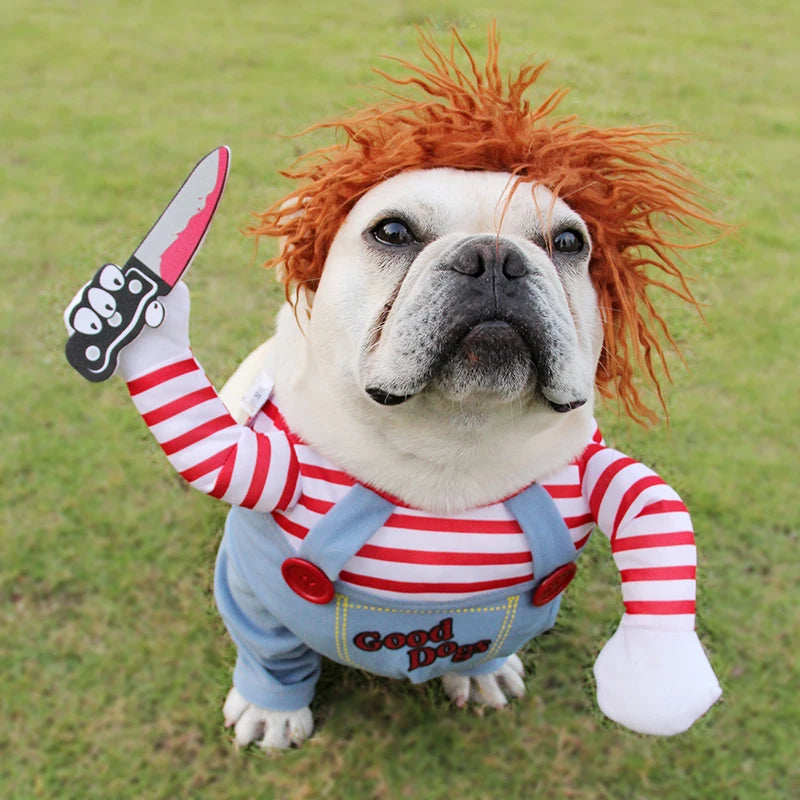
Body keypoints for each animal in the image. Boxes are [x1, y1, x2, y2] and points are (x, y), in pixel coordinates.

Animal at [65, 28, 720, 748]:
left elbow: (652, 511)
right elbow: (269, 648)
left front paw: (639, 682)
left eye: (571, 241)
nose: (495, 257)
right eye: (393, 231)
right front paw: (273, 710)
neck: (453, 442)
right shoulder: (256, 582)